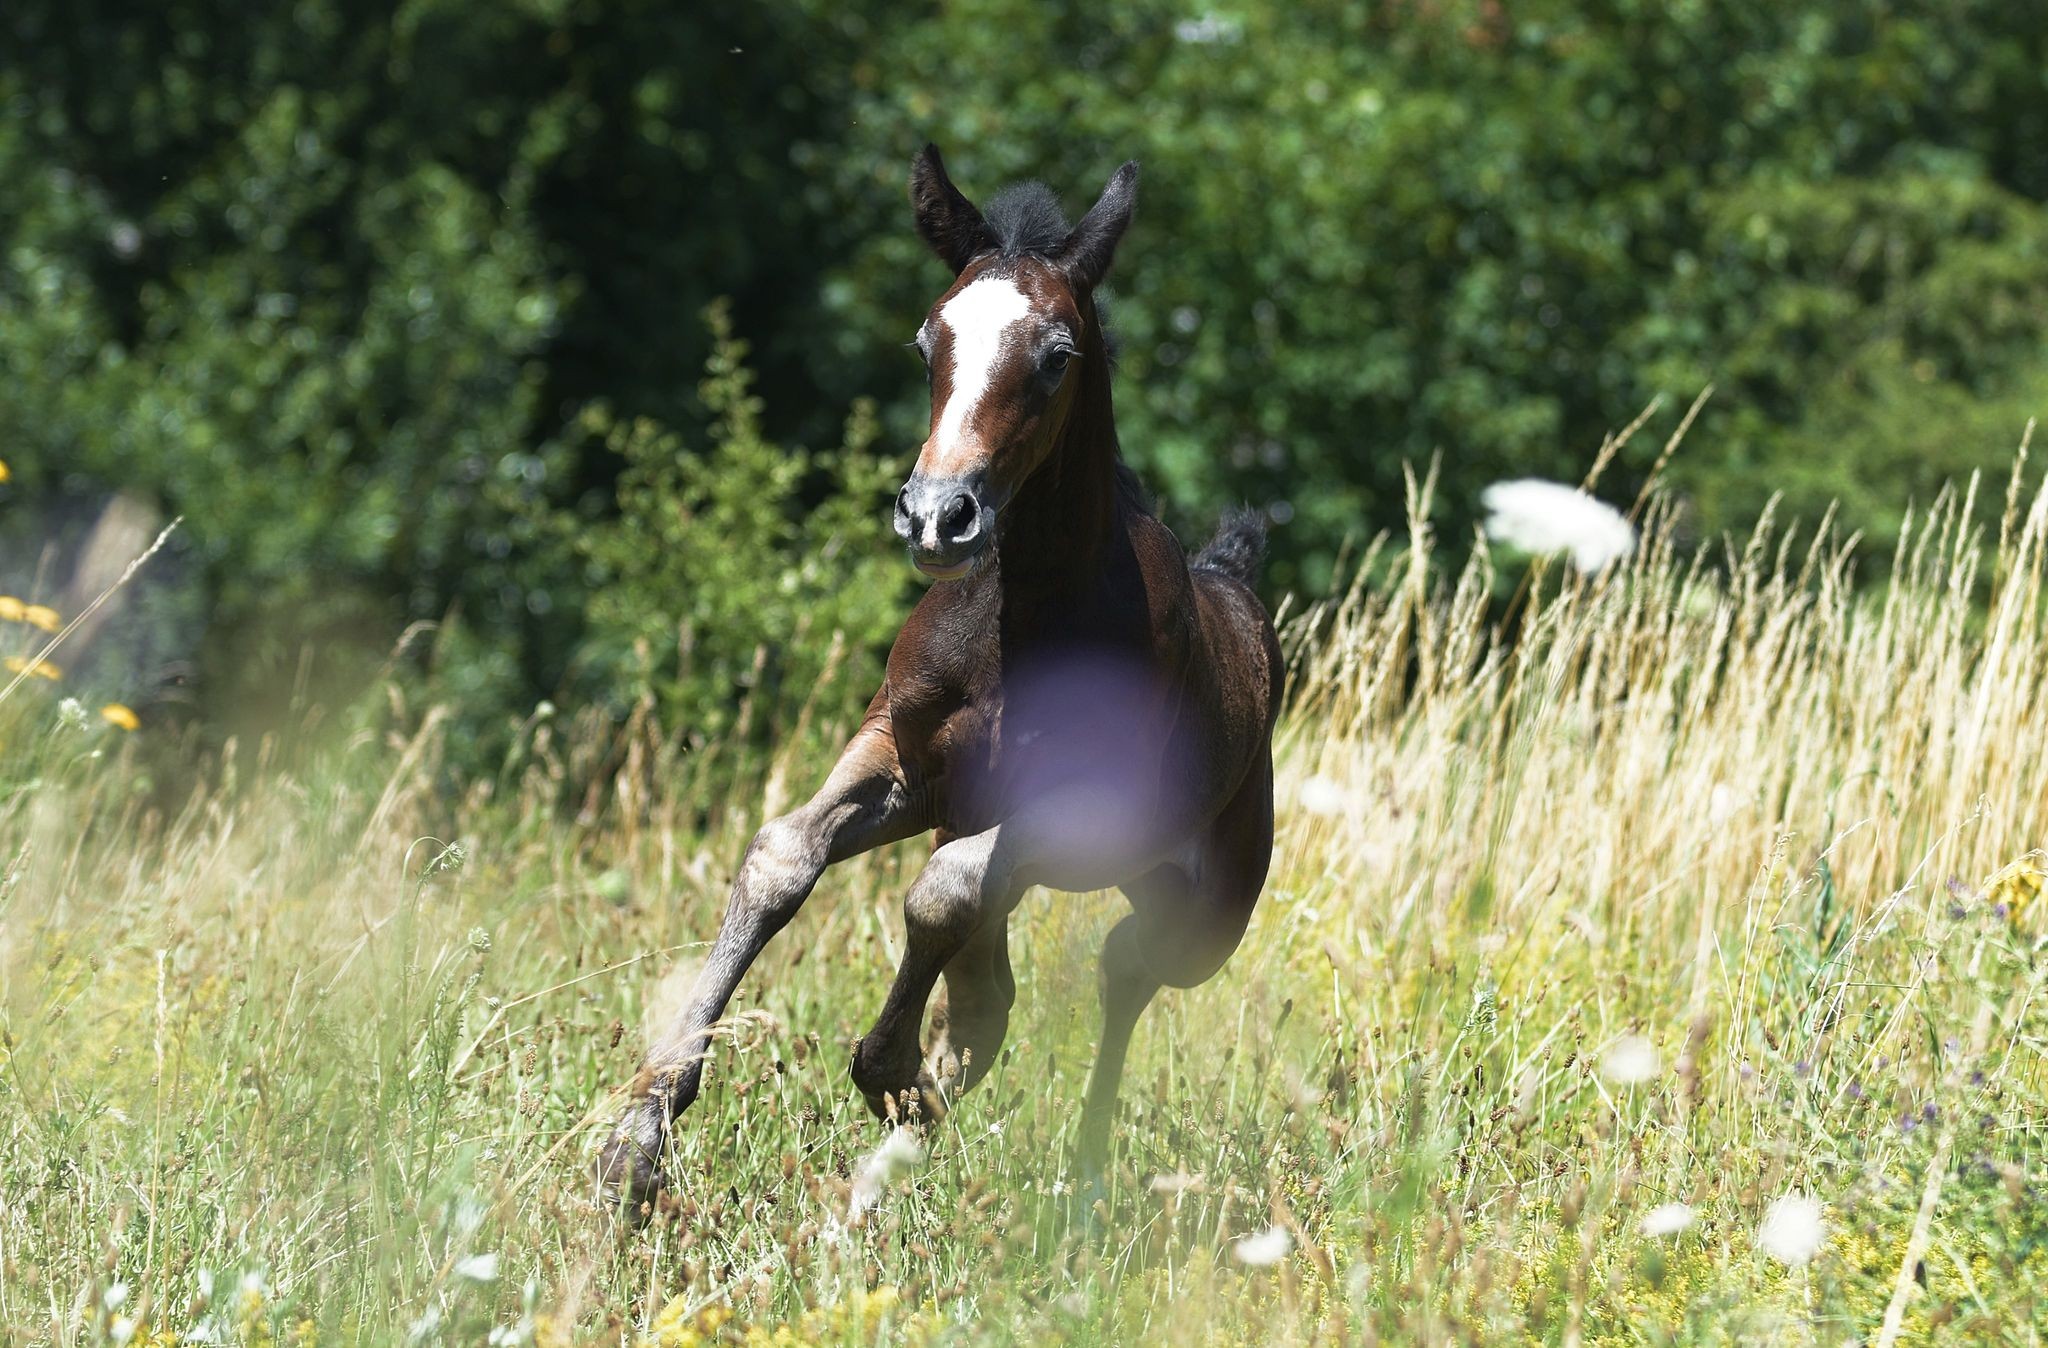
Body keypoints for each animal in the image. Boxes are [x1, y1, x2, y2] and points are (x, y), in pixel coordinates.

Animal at [593, 147, 1286, 1204]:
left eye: (1057, 355)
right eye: (928, 343)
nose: (937, 517)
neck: (1023, 624)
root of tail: (1237, 590)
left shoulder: (1074, 803)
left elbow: (942, 892)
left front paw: (886, 1065)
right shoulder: (910, 758)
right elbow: (783, 857)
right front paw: (638, 1137)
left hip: (1201, 915)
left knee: (1121, 969)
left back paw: (1068, 1174)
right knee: (992, 995)